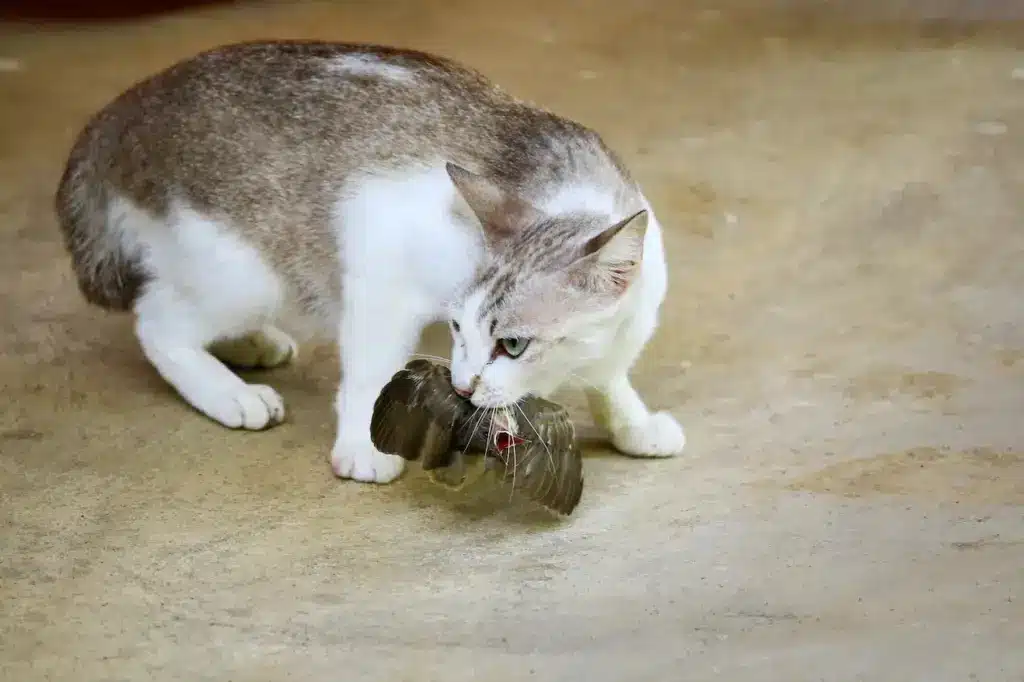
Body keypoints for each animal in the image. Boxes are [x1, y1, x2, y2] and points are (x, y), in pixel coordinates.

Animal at [51, 39, 684, 481]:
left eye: (512, 344)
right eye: (457, 328)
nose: (462, 387)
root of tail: (123, 110)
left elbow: (609, 381)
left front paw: (632, 424)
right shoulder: (383, 264)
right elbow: (369, 373)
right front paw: (362, 447)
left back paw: (248, 345)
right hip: (248, 272)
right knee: (157, 320)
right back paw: (229, 392)